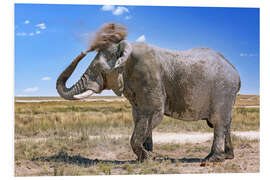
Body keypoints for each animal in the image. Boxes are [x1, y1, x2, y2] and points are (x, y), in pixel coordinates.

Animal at [56, 23, 240, 162]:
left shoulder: (148, 77)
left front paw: (147, 158)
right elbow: (139, 117)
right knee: (226, 123)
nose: (85, 50)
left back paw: (212, 159)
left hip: (223, 90)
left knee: (218, 122)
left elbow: (152, 114)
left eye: (98, 69)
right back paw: (227, 156)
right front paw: (148, 155)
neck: (127, 50)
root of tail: (235, 72)